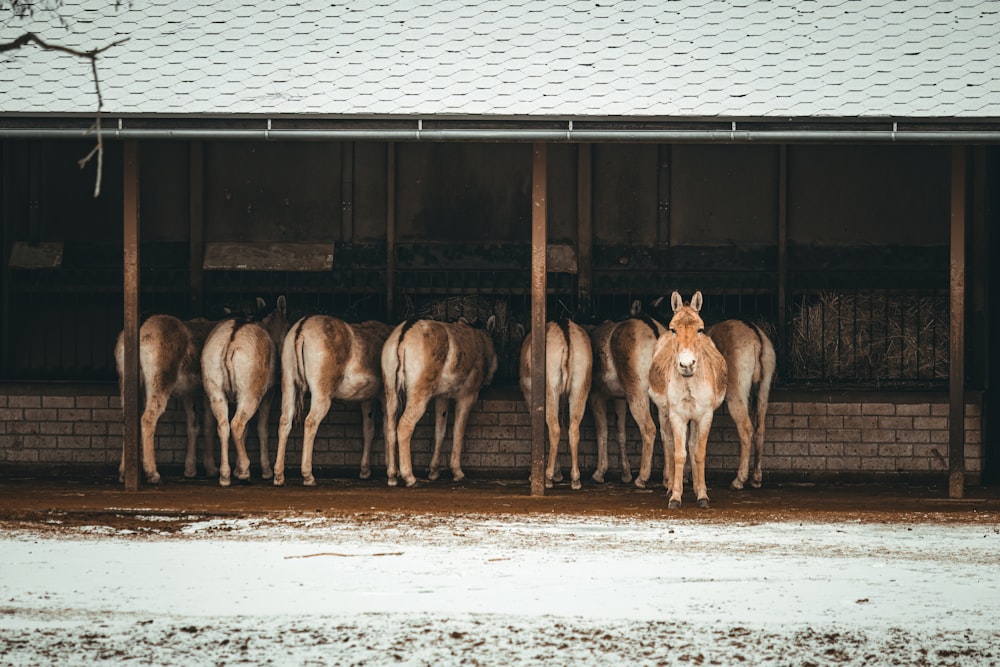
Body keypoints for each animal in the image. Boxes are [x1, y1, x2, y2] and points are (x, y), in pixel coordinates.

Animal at [198, 296, 286, 486]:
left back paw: (224, 475)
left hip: (215, 392)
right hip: (250, 395)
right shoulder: (268, 394)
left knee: (223, 425)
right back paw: (245, 471)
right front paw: (265, 471)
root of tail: (230, 342)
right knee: (237, 425)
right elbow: (261, 428)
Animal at [276, 316, 396, 488]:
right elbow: (387, 429)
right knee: (310, 422)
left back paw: (279, 476)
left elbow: (368, 431)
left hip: (289, 386)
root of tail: (302, 328)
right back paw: (308, 477)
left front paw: (365, 471)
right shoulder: (384, 396)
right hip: (321, 395)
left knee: (284, 422)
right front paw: (391, 473)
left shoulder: (367, 400)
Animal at [380, 318, 498, 486]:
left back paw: (392, 476)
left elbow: (439, 432)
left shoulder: (442, 397)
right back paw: (409, 477)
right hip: (420, 393)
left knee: (390, 428)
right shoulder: (467, 396)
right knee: (404, 426)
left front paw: (434, 472)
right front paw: (457, 472)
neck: (480, 343)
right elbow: (458, 432)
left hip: (390, 391)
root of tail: (405, 332)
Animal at [520, 320, 588, 488]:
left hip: (550, 389)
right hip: (579, 389)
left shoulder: (530, 399)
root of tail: (565, 330)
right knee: (573, 429)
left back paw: (548, 477)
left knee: (554, 428)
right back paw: (575, 479)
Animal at [648, 292, 728, 512]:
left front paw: (702, 495)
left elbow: (698, 452)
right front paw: (675, 497)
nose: (686, 365)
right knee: (667, 442)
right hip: (663, 412)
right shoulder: (677, 415)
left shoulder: (705, 415)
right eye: (673, 329)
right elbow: (679, 453)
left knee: (691, 446)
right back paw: (670, 485)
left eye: (699, 329)